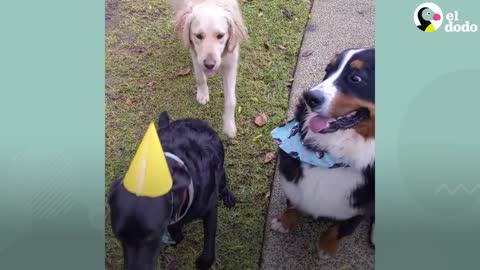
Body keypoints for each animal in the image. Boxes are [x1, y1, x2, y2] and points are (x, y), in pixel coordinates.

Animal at [109, 112, 236, 270]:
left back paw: (227, 195)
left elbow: (209, 243)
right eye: (118, 236)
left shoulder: (210, 209)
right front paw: (176, 235)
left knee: (223, 182)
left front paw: (202, 262)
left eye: (152, 236)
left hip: (220, 169)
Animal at [172, 0, 248, 138]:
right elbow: (200, 77)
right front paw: (203, 94)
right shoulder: (196, 56)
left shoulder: (231, 62)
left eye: (220, 36)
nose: (209, 64)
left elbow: (231, 99)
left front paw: (229, 126)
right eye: (198, 36)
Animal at [270, 48, 376, 258]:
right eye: (328, 70)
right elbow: (293, 202)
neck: (332, 156)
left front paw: (327, 247)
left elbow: (342, 229)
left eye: (356, 78)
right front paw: (284, 222)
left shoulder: (362, 206)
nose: (310, 97)